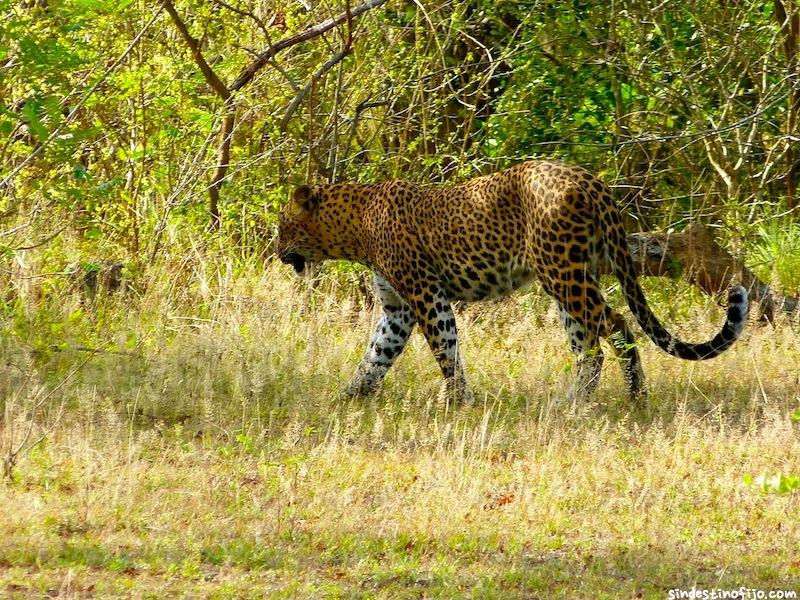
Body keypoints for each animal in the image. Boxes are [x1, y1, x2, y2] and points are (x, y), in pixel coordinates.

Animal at [276, 159, 752, 404]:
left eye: (283, 226)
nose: (277, 251)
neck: (355, 228)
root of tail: (593, 182)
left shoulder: (425, 294)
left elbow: (445, 347)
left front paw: (458, 402)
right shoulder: (397, 308)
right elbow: (376, 354)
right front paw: (349, 395)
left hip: (563, 276)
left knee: (618, 326)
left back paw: (636, 399)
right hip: (570, 279)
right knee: (589, 348)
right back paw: (574, 404)